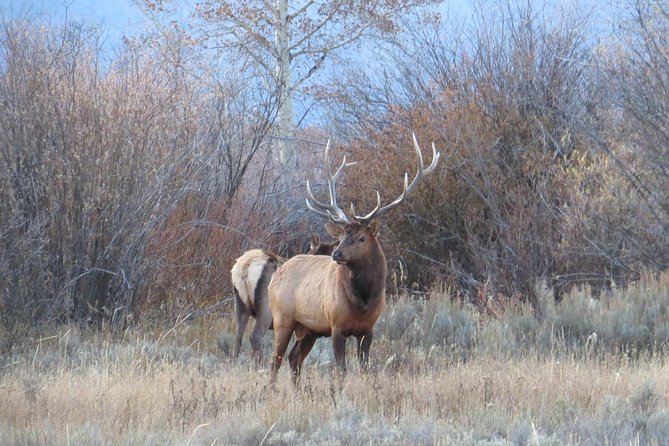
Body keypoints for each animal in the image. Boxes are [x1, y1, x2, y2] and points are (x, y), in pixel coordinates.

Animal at [268, 135, 440, 380]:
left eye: (361, 238)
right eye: (341, 236)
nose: (336, 253)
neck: (363, 302)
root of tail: (276, 275)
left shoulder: (368, 329)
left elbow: (366, 367)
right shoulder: (336, 326)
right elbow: (341, 369)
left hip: (310, 330)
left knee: (294, 359)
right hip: (282, 318)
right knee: (275, 361)